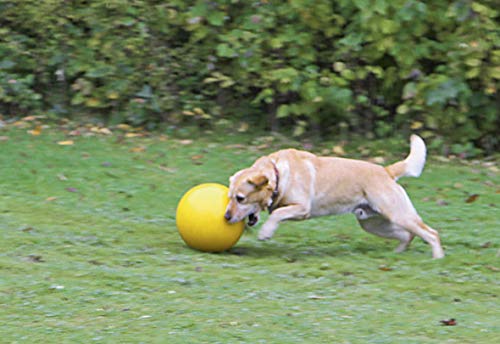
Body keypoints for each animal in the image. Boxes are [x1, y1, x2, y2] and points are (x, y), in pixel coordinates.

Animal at [225, 134, 444, 258]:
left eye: (240, 198)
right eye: (229, 197)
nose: (226, 217)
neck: (279, 174)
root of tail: (386, 170)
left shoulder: (302, 208)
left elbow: (277, 214)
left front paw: (266, 233)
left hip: (398, 214)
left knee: (431, 233)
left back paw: (438, 257)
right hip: (372, 223)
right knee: (408, 235)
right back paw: (397, 254)